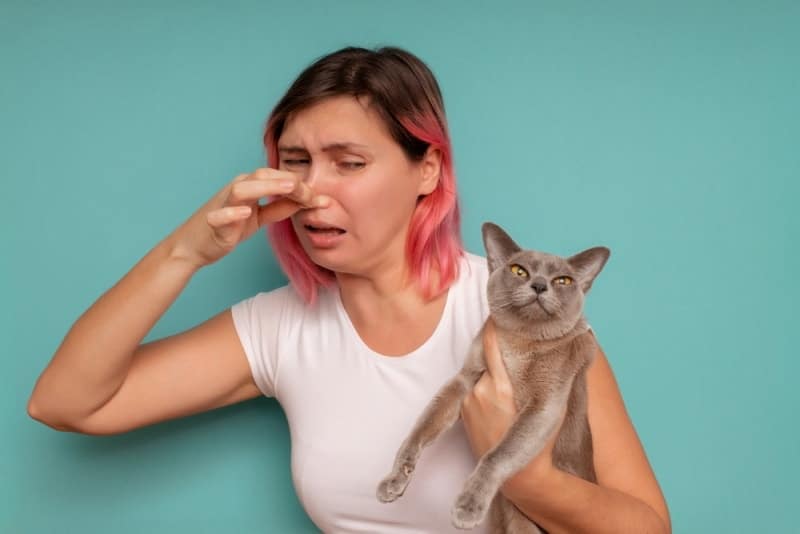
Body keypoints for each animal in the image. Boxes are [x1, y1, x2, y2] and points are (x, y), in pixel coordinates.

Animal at [378, 221, 608, 532]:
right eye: (519, 271)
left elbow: (498, 454)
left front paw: (467, 507)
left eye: (562, 280)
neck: (518, 343)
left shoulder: (544, 405)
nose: (539, 285)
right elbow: (421, 427)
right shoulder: (465, 380)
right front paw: (395, 479)